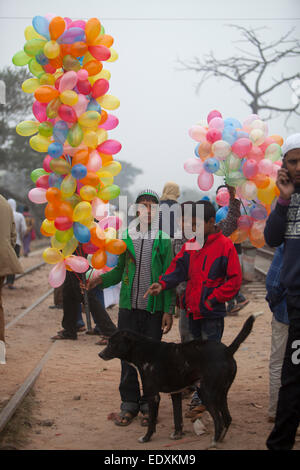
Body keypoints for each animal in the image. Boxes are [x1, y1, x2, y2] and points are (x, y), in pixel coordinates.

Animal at [99, 312, 262, 444]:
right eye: (108, 342)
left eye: (112, 343)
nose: (100, 354)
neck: (144, 350)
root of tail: (227, 350)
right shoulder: (176, 393)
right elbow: (178, 420)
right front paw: (177, 435)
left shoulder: (153, 396)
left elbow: (152, 421)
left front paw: (146, 438)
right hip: (221, 394)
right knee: (228, 418)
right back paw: (220, 439)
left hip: (207, 393)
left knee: (219, 421)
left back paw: (214, 442)